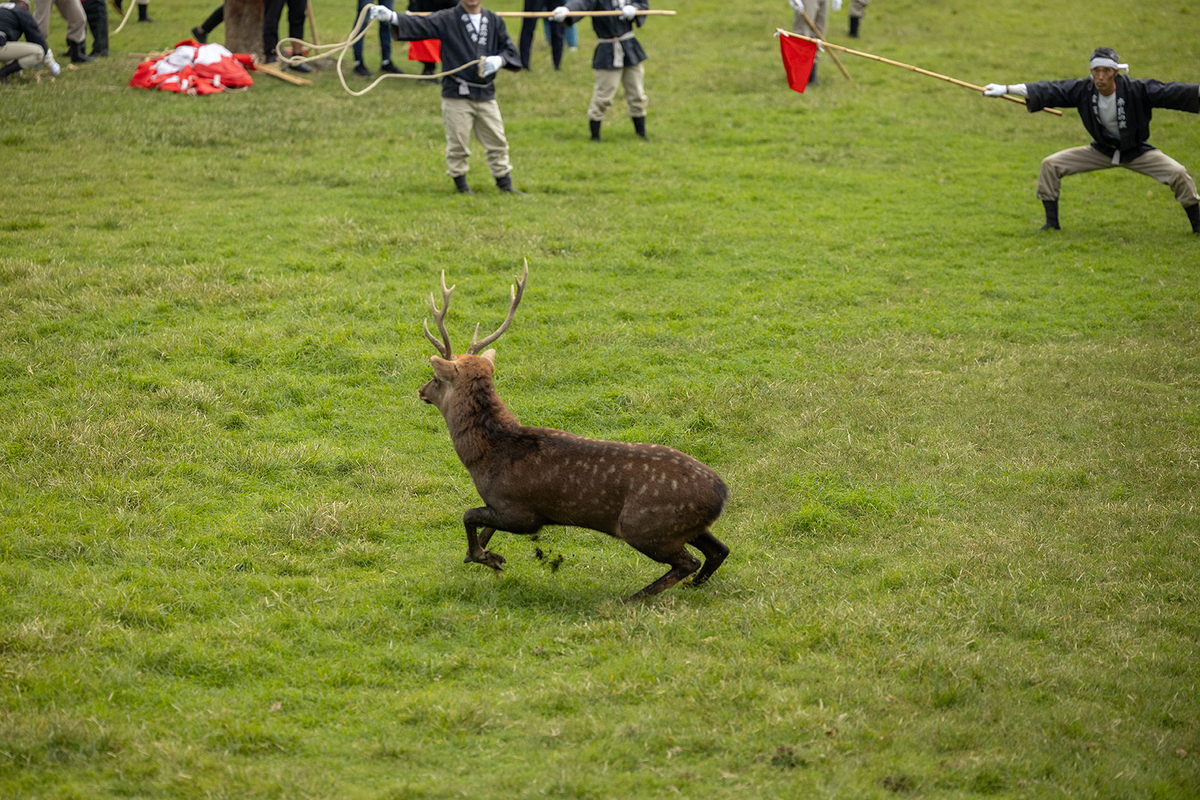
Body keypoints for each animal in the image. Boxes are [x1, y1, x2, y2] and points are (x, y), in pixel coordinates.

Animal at [417, 262, 724, 599]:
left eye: (436, 377)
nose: (421, 390)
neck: (486, 455)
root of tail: (722, 494)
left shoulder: (522, 512)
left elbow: (469, 515)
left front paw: (489, 558)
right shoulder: (500, 506)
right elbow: (482, 527)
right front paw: (481, 555)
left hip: (646, 527)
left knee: (689, 561)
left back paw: (632, 599)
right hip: (687, 527)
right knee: (719, 550)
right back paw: (692, 587)